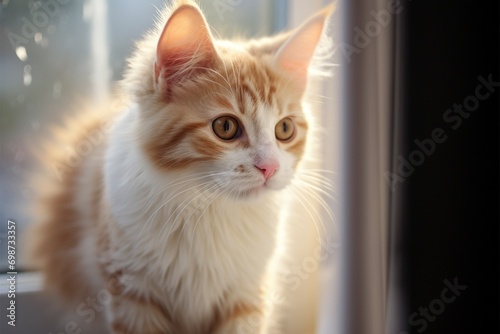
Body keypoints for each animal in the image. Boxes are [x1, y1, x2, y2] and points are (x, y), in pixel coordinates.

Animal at [30, 1, 336, 332]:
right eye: (226, 127)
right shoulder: (132, 292)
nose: (270, 167)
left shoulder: (247, 294)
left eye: (284, 129)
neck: (210, 212)